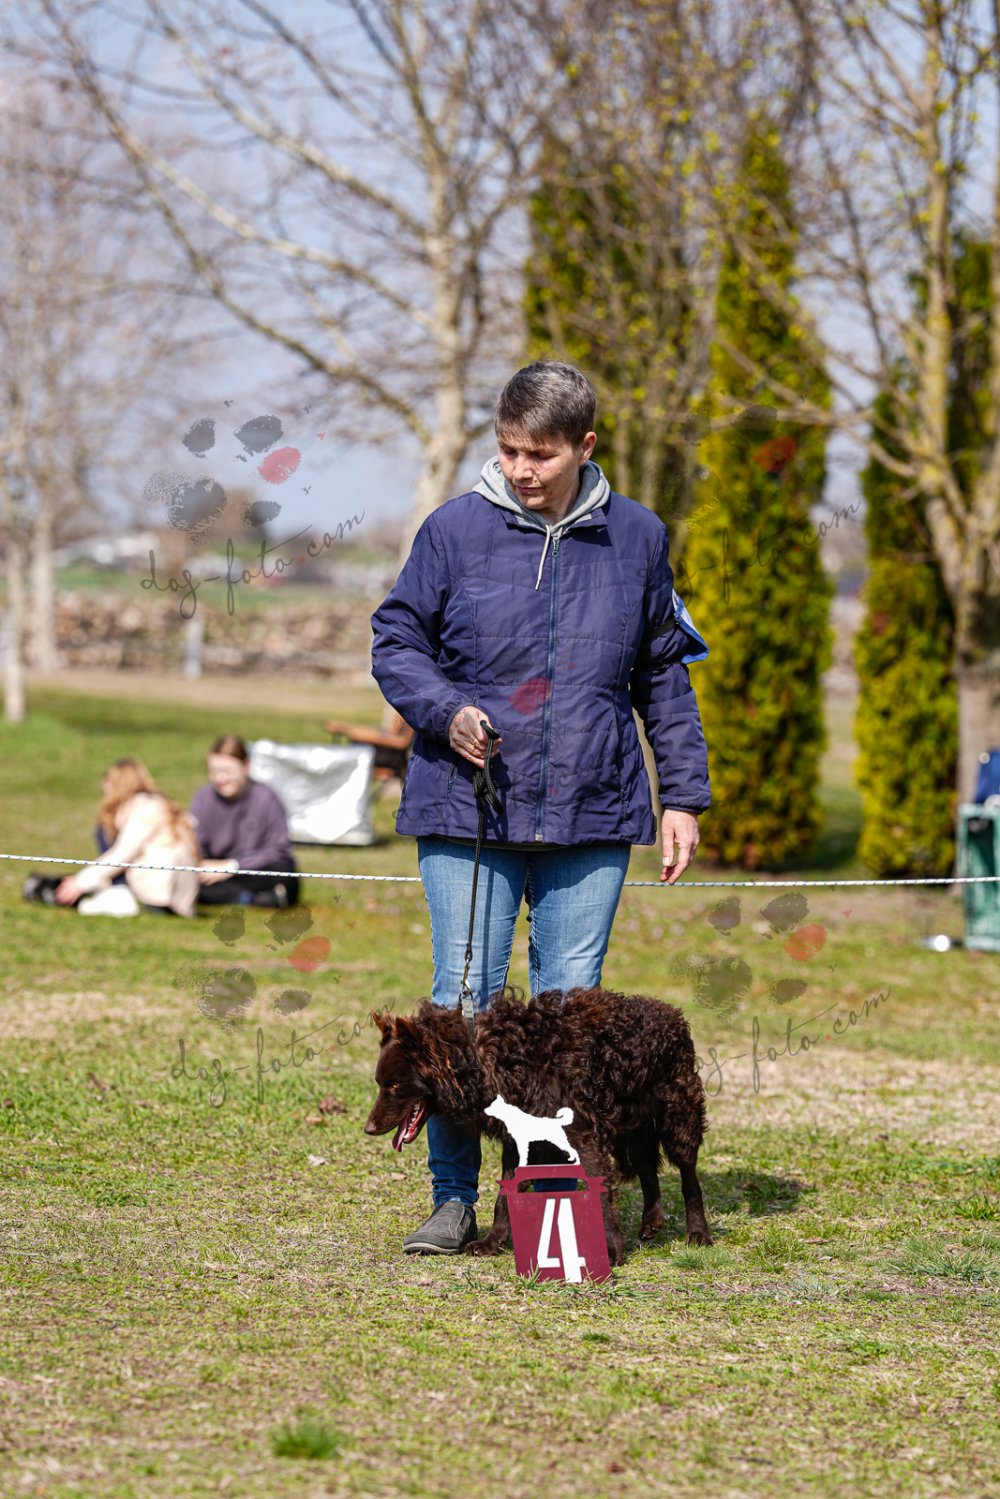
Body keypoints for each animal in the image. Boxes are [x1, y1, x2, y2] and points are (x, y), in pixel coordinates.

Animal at [364, 986, 712, 1265]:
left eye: (394, 1085)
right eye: (381, 1083)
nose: (368, 1128)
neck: (486, 1061)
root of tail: (671, 1013)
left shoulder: (587, 1137)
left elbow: (601, 1195)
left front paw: (610, 1251)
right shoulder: (518, 1143)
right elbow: (503, 1198)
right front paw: (493, 1243)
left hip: (678, 1116)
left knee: (688, 1178)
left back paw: (698, 1234)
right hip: (635, 1126)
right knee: (648, 1168)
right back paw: (651, 1221)